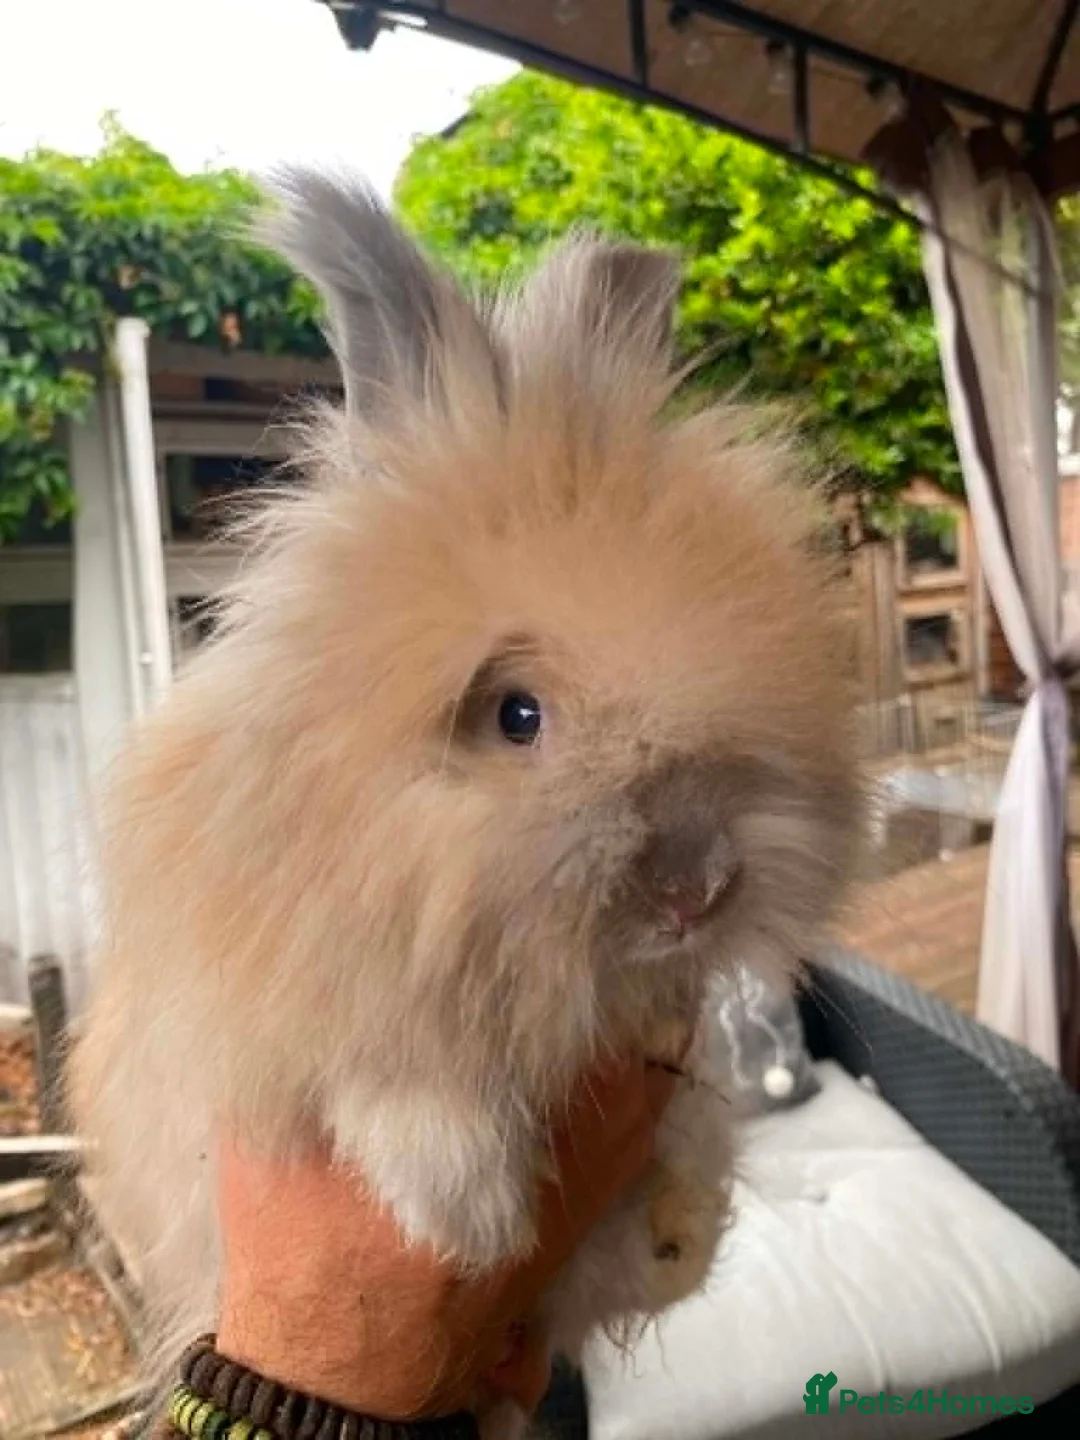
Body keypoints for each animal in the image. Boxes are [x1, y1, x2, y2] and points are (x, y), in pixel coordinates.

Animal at [69, 171, 860, 1438]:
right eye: (517, 716)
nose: (697, 889)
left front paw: (661, 1198)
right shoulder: (262, 1013)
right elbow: (387, 1077)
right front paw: (469, 1214)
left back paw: (673, 1229)